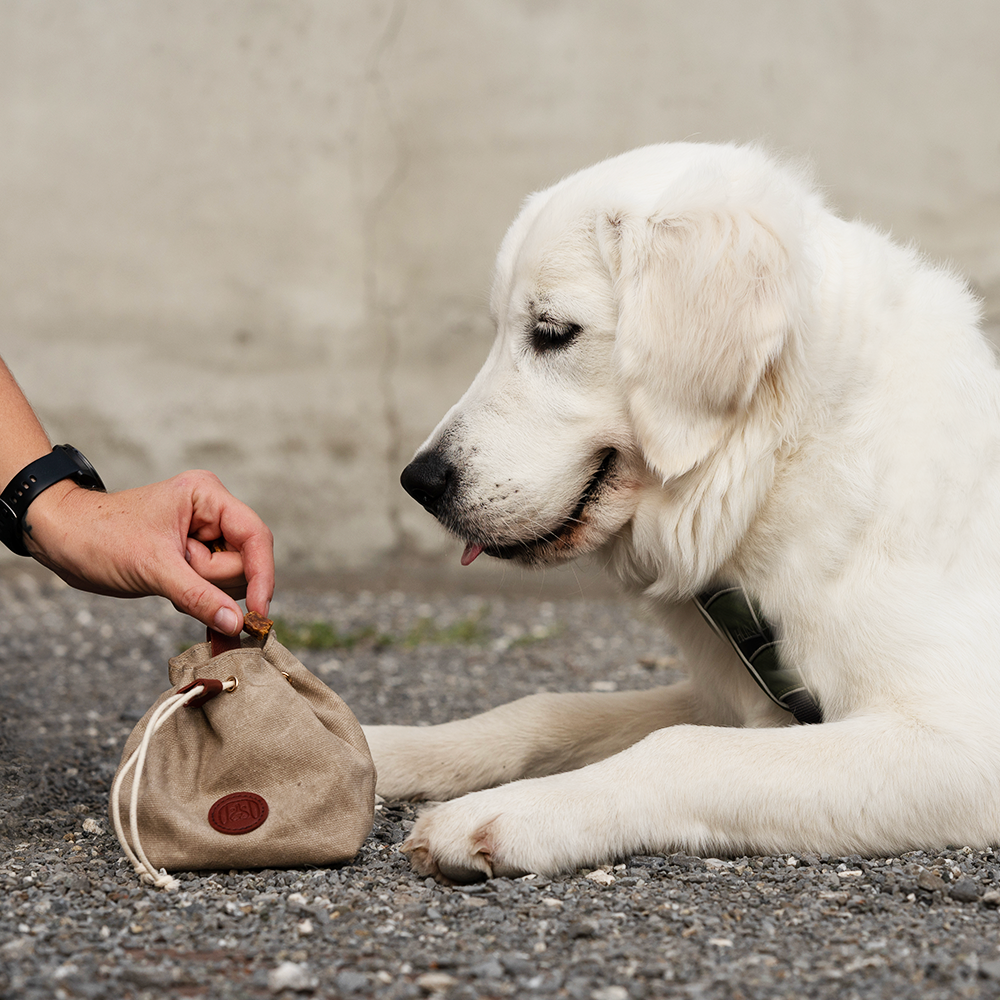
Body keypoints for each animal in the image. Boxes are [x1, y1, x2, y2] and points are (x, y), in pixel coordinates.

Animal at [364, 139, 1000, 884]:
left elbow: (680, 747)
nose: (419, 481)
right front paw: (379, 749)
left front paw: (509, 812)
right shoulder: (736, 699)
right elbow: (544, 708)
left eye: (551, 332)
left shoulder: (962, 740)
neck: (786, 457)